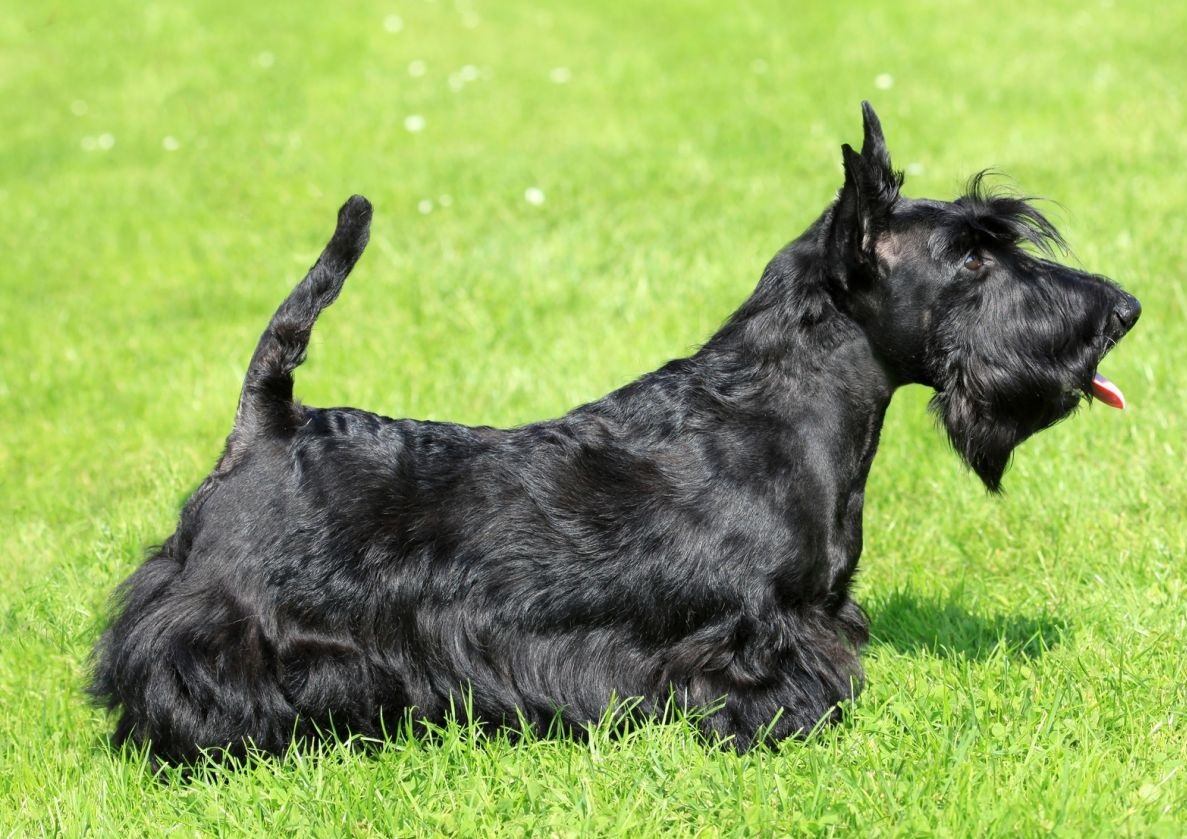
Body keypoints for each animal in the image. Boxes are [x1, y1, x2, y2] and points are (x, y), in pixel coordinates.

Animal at [90, 103, 1139, 759]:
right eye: (971, 257)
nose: (1120, 310)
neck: (775, 413)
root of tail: (268, 420)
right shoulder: (750, 626)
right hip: (233, 618)